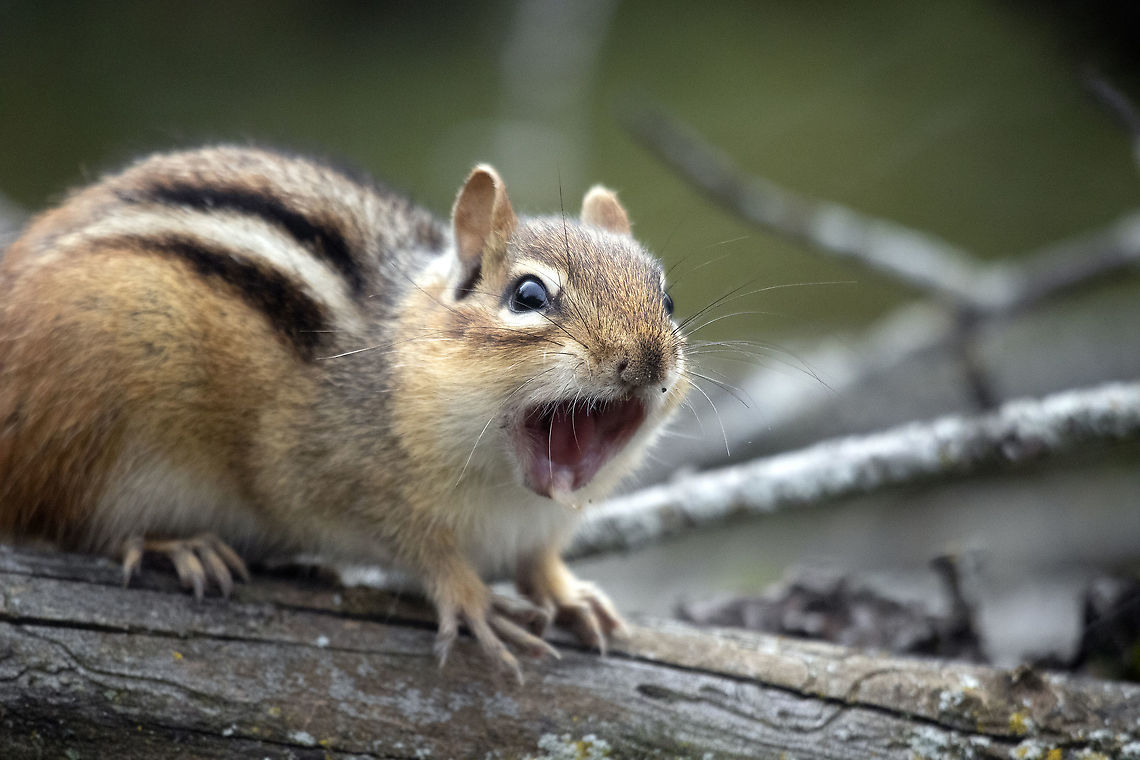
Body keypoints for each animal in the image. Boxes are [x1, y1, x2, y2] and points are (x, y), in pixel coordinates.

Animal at [0, 146, 689, 680]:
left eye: (668, 299)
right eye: (527, 295)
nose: (647, 359)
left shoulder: (537, 528)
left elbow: (539, 562)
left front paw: (568, 592)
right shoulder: (333, 472)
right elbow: (421, 547)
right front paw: (473, 599)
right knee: (70, 523)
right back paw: (176, 544)